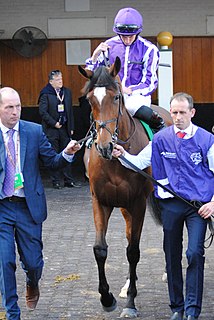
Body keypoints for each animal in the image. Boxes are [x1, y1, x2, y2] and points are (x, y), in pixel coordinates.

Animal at [78, 57, 172, 318]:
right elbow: (100, 249)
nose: (104, 146)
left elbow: (133, 251)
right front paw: (106, 298)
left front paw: (131, 303)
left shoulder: (138, 203)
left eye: (117, 97)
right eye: (90, 100)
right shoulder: (101, 201)